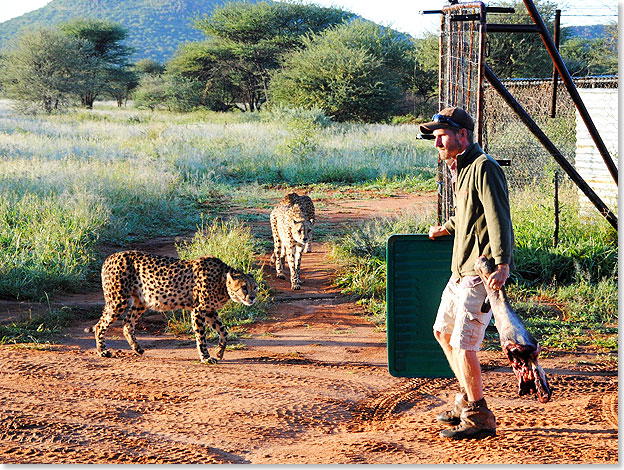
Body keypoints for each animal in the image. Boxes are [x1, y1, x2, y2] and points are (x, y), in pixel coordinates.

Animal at [86, 250, 258, 364]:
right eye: (244, 287)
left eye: (255, 287)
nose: (253, 297)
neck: (222, 281)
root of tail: (110, 257)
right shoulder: (198, 310)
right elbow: (201, 337)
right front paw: (206, 357)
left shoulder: (210, 311)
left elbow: (224, 332)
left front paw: (220, 352)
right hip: (118, 300)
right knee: (100, 325)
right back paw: (103, 351)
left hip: (141, 302)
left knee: (127, 323)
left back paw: (137, 348)